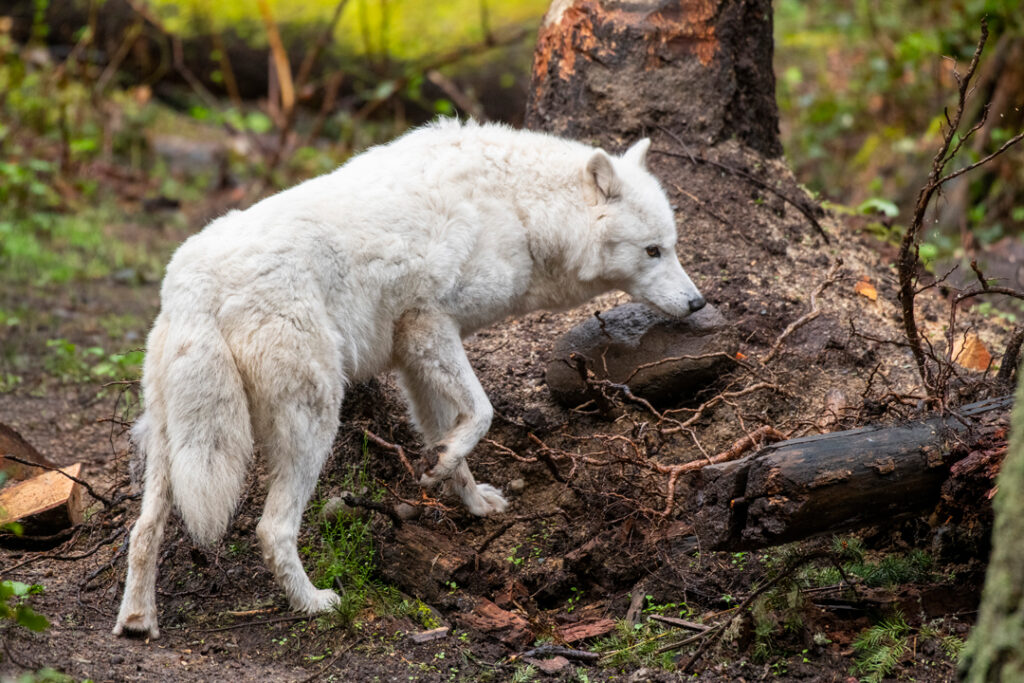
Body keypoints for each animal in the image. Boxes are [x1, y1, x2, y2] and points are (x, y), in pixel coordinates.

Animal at [113, 120, 705, 639]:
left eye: (674, 245)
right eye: (653, 250)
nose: (699, 303)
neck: (519, 211)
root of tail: (195, 285)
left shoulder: (414, 358)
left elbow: (453, 433)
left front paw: (468, 497)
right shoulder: (430, 326)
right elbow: (483, 413)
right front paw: (441, 468)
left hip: (171, 441)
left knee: (143, 530)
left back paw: (138, 622)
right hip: (312, 423)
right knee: (271, 528)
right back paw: (314, 604)